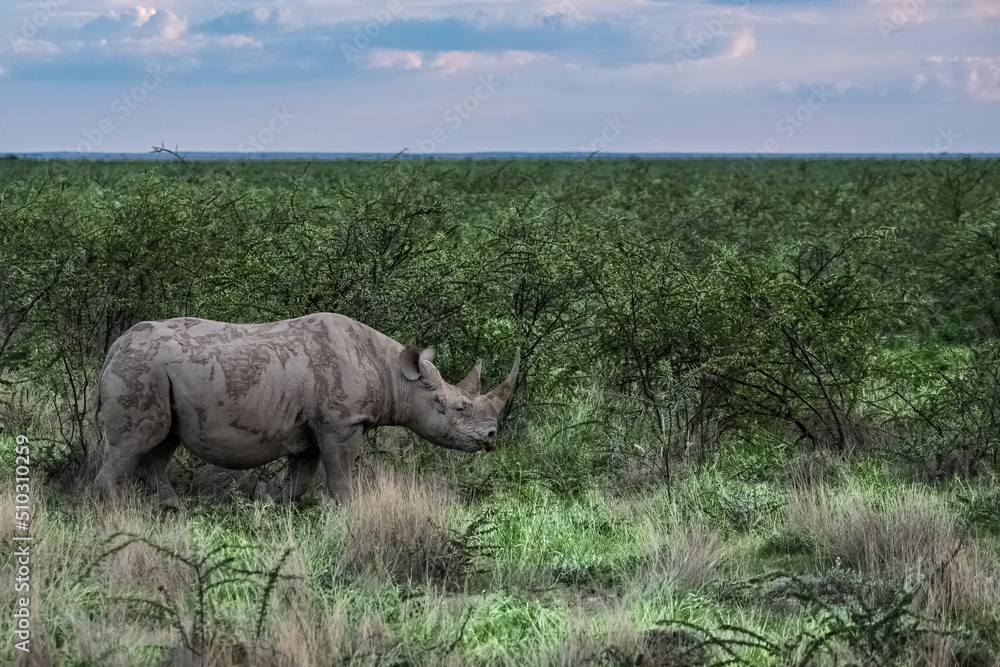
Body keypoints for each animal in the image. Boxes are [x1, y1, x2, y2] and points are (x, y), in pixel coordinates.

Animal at [95, 313, 519, 507]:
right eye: (459, 408)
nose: (491, 437)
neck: (396, 374)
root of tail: (115, 347)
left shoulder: (311, 431)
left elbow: (301, 480)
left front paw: (271, 502)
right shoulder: (343, 422)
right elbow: (340, 475)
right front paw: (349, 512)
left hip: (156, 371)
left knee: (161, 441)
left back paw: (172, 509)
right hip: (142, 367)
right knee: (134, 442)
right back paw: (111, 513)